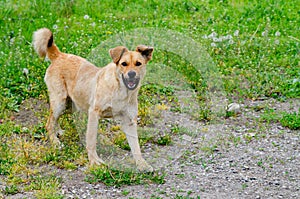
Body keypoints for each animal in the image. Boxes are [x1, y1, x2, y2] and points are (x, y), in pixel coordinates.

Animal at [33, 27, 154, 172]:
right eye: (124, 64)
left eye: (138, 64)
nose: (131, 74)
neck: (121, 91)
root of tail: (59, 55)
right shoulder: (94, 113)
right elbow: (91, 140)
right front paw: (94, 162)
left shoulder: (129, 121)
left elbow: (136, 146)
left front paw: (142, 164)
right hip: (60, 103)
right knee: (49, 123)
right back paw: (56, 143)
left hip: (70, 105)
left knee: (53, 119)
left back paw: (58, 132)